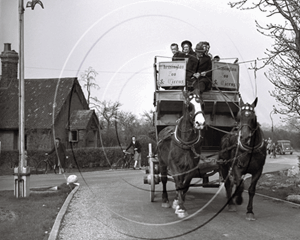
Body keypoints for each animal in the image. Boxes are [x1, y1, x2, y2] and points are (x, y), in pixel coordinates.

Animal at [156, 89, 205, 218]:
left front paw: (179, 204)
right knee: (164, 180)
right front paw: (181, 208)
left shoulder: (192, 167)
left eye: (203, 104)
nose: (200, 123)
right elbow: (178, 184)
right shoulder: (174, 165)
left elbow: (185, 185)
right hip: (162, 163)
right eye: (189, 106)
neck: (186, 143)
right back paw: (165, 200)